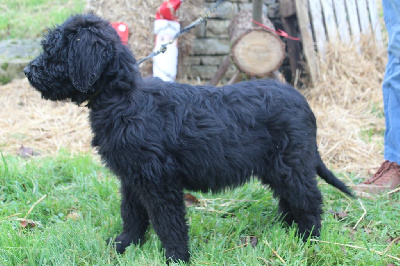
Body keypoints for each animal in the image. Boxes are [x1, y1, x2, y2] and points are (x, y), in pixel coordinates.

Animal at [23, 14, 352, 262]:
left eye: (54, 51)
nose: (27, 71)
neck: (123, 98)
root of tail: (303, 102)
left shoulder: (158, 180)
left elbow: (169, 222)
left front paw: (176, 257)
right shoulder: (132, 177)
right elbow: (132, 214)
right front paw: (124, 245)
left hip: (291, 164)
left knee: (309, 200)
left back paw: (309, 239)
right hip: (277, 167)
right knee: (289, 199)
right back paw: (286, 230)